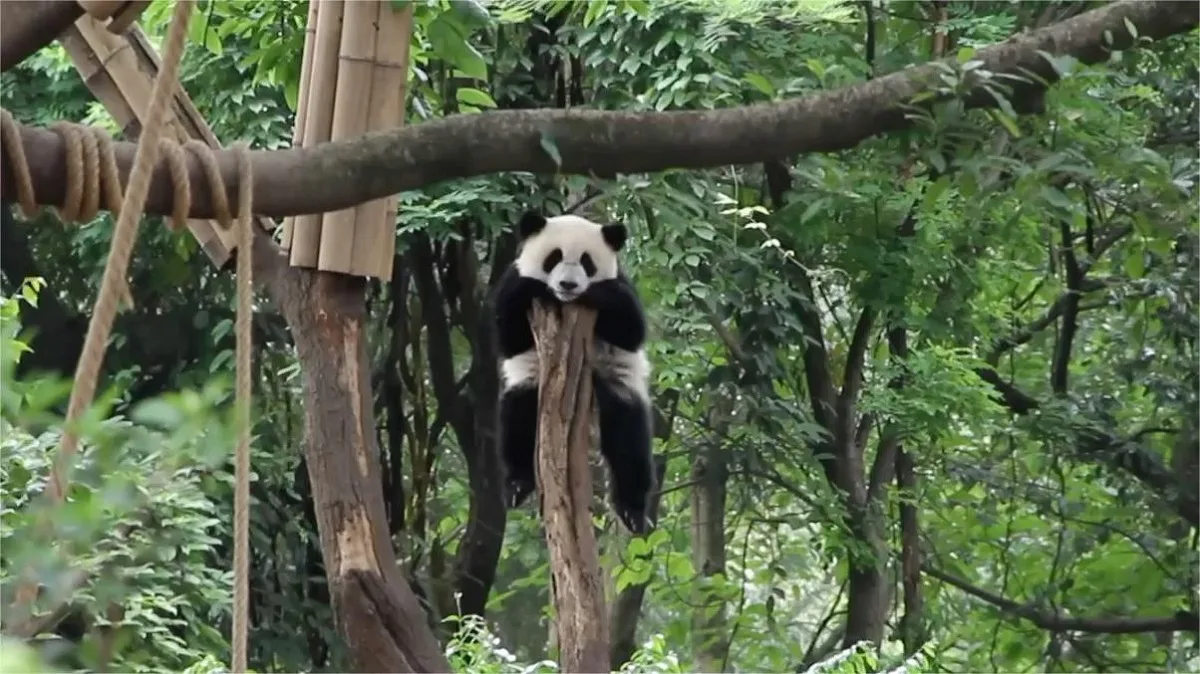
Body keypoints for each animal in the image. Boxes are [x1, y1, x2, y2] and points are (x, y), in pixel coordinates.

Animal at [491, 210, 656, 535]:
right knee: (519, 415)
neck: (564, 303)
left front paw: (600, 294)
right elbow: (509, 336)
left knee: (628, 439)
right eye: (553, 257)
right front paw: (531, 286)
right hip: (533, 380)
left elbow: (631, 329)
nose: (568, 285)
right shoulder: (513, 283)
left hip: (614, 380)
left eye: (587, 262)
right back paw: (517, 485)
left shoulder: (621, 285)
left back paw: (632, 511)